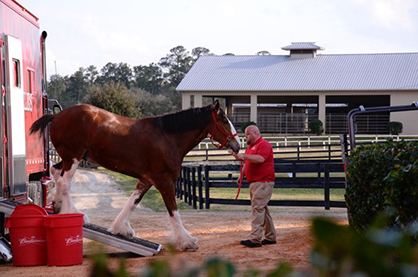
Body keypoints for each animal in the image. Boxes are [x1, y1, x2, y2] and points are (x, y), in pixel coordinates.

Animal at [29, 100, 238, 249]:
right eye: (224, 120)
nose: (236, 145)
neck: (167, 137)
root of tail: (57, 115)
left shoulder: (146, 180)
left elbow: (132, 203)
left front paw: (121, 229)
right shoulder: (164, 182)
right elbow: (174, 212)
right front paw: (186, 240)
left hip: (69, 158)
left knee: (56, 173)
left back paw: (58, 205)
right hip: (73, 157)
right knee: (64, 183)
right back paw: (76, 213)